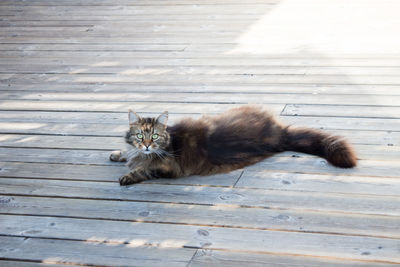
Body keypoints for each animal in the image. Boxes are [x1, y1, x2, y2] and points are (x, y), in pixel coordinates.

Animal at [109, 105, 356, 186]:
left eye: (154, 137)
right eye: (140, 136)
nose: (147, 145)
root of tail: (278, 133)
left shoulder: (168, 168)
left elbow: (144, 169)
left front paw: (128, 175)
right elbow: (128, 154)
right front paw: (118, 154)